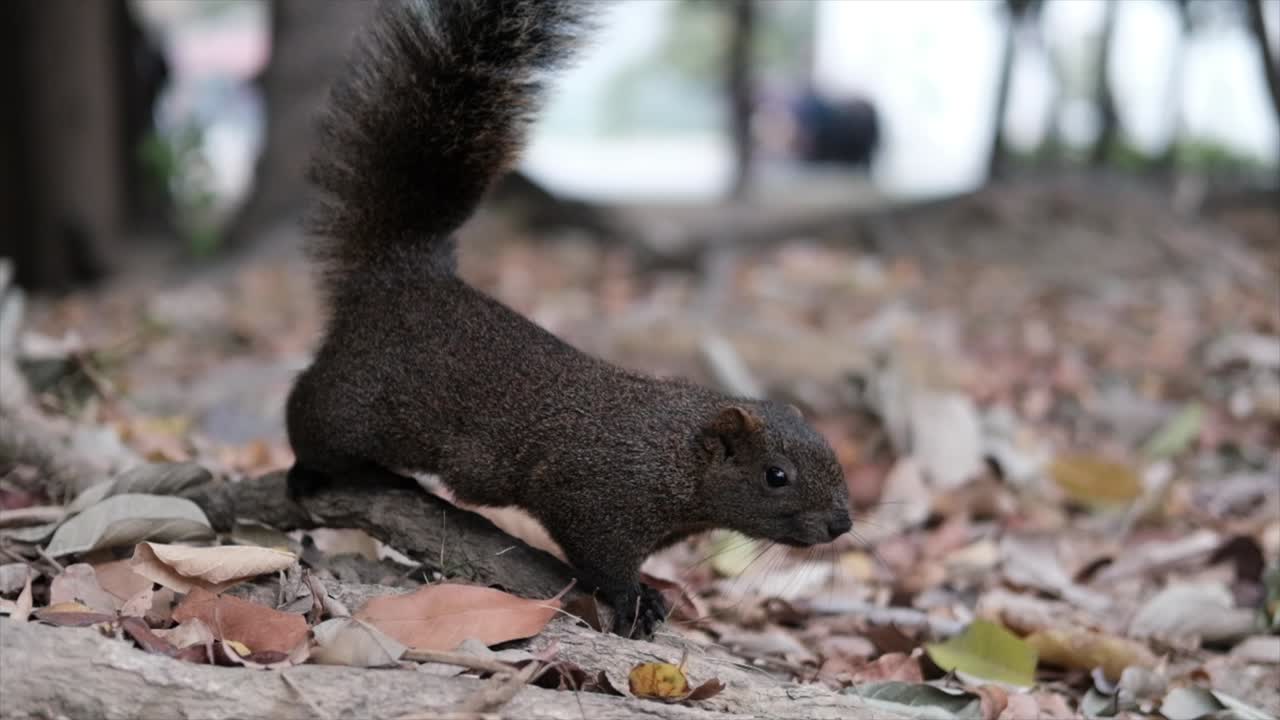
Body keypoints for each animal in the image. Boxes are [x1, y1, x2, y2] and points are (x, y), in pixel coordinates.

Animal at [285, 0, 852, 638]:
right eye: (776, 475)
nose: (842, 524)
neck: (676, 456)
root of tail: (398, 273)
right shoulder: (595, 496)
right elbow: (599, 555)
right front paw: (635, 600)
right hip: (353, 402)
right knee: (306, 411)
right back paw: (303, 471)